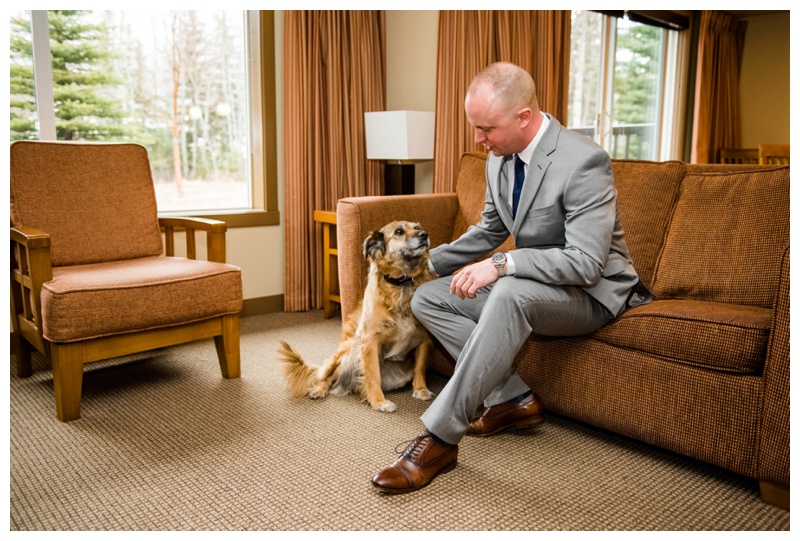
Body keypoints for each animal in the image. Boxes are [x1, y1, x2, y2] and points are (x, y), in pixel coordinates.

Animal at [278, 221, 434, 412]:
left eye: (417, 227)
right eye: (399, 231)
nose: (424, 234)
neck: (402, 283)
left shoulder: (424, 337)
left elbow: (420, 367)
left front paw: (420, 389)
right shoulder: (369, 340)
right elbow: (373, 375)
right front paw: (379, 401)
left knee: (356, 385)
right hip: (350, 349)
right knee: (330, 377)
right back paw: (320, 389)